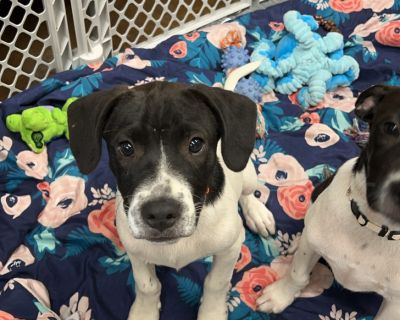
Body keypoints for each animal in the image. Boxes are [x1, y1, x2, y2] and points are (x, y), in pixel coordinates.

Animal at [68, 82, 276, 320]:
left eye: (195, 144)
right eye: (126, 147)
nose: (160, 213)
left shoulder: (230, 248)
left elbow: (216, 283)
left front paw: (211, 312)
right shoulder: (135, 249)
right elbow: (147, 285)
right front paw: (144, 312)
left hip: (247, 174)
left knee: (248, 193)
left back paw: (257, 214)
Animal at [258, 85, 400, 320]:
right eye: (392, 127)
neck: (372, 226)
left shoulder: (395, 305)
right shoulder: (311, 247)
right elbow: (298, 274)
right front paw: (279, 296)